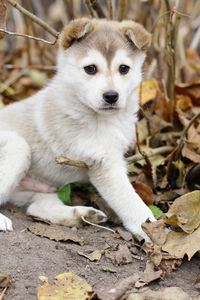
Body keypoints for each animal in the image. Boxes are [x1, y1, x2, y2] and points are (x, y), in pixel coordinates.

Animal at [0, 18, 155, 239]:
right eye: (90, 69)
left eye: (124, 68)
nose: (111, 96)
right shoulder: (104, 163)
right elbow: (130, 201)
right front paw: (152, 228)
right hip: (17, 146)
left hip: (39, 189)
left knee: (37, 208)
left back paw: (83, 215)